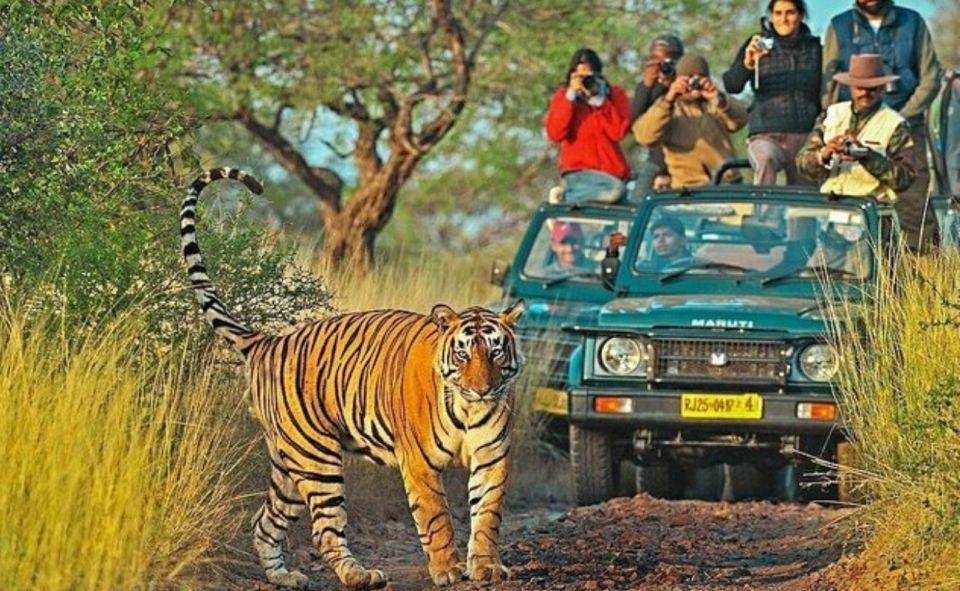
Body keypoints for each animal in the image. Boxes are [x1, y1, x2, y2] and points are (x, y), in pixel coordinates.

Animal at [179, 168, 525, 590]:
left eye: (495, 351)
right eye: (463, 354)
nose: (483, 389)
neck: (467, 408)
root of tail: (268, 341)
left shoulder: (492, 456)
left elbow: (488, 516)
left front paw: (487, 566)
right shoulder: (420, 464)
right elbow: (437, 519)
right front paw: (447, 570)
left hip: (288, 465)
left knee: (264, 522)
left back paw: (285, 577)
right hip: (316, 458)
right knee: (325, 529)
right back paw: (359, 575)